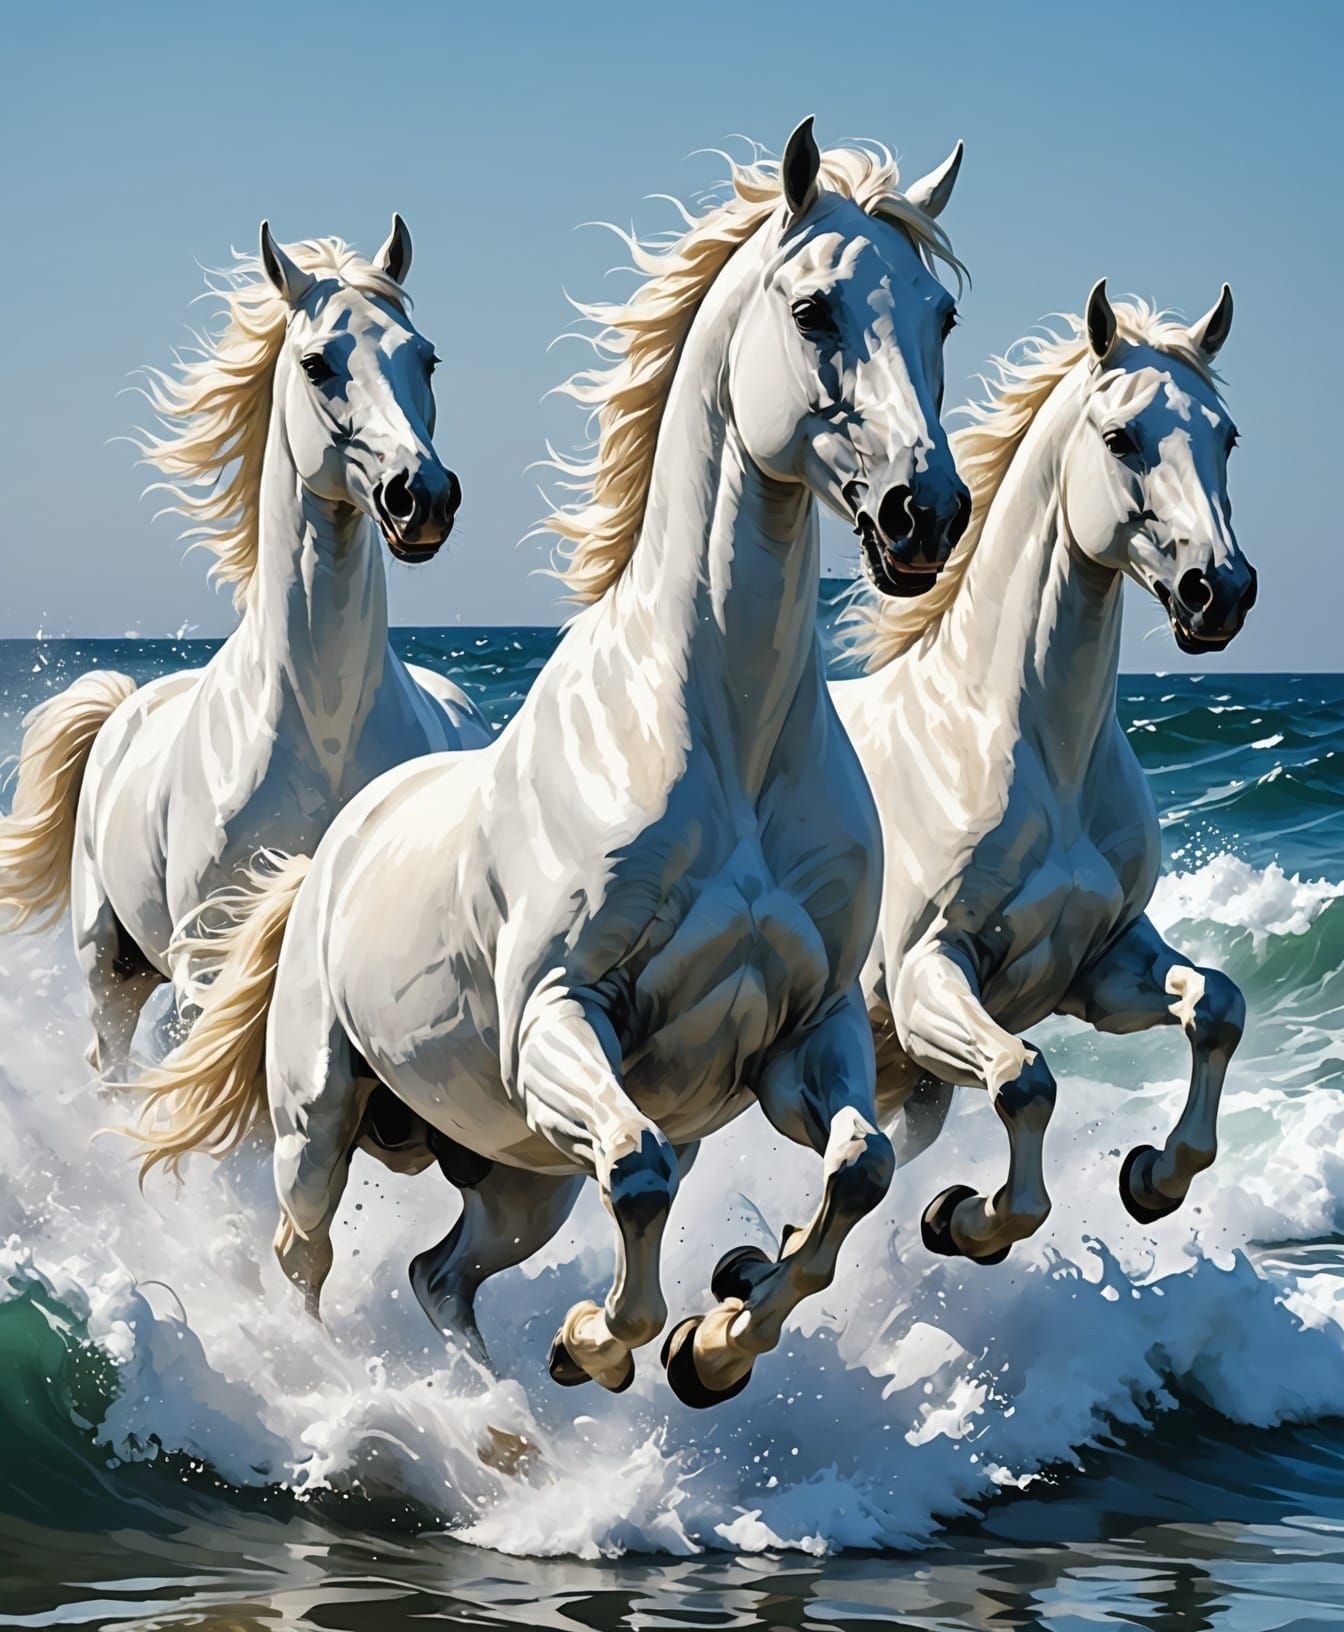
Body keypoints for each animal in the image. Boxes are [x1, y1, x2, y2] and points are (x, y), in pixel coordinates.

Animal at [0, 219, 490, 1112]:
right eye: (316, 363)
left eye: (427, 358)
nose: (422, 497)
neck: (320, 725)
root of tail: (123, 707)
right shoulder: (213, 963)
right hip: (111, 967)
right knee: (115, 1068)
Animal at [130, 120, 971, 1407]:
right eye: (816, 308)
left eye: (942, 315)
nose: (925, 513)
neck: (722, 740)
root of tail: (326, 854)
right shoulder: (557, 1026)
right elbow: (644, 1167)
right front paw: (613, 1338)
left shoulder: (808, 1034)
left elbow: (861, 1169)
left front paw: (711, 1340)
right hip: (320, 1118)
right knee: (303, 1253)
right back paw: (337, 1385)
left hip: (516, 1175)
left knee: (440, 1275)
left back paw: (496, 1409)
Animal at [832, 279, 1256, 1265]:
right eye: (1122, 438)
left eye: (1226, 436)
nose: (1220, 593)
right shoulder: (927, 981)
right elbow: (1026, 1079)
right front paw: (966, 1221)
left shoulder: (1101, 966)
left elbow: (1216, 1003)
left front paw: (1153, 1178)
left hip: (902, 1086)